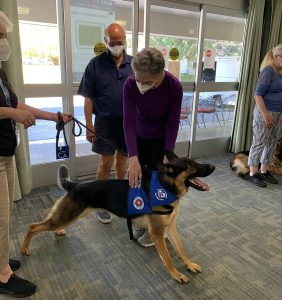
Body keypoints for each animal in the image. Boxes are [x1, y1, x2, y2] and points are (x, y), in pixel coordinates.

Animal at [20, 150, 215, 284]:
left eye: (194, 162)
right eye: (189, 166)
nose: (212, 167)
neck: (164, 187)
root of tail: (75, 185)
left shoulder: (170, 228)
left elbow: (181, 250)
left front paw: (189, 264)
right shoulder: (158, 233)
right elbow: (167, 258)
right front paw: (176, 274)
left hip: (68, 215)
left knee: (49, 221)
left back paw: (58, 231)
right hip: (67, 215)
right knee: (33, 226)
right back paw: (24, 248)